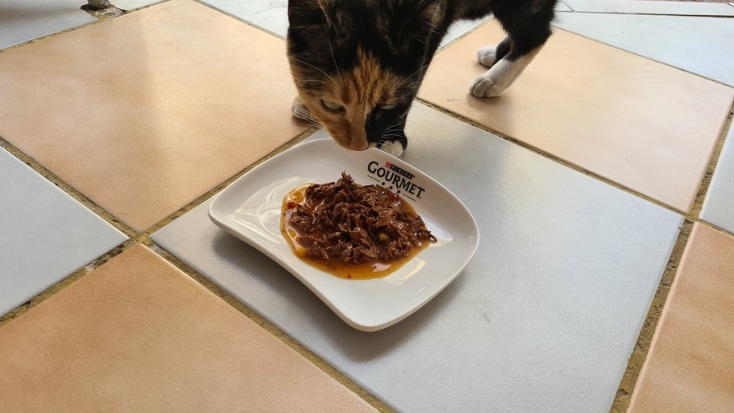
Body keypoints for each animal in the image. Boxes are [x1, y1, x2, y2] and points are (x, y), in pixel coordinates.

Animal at [286, 0, 557, 157]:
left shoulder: (434, 22)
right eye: (331, 105)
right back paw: (494, 54)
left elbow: (415, 78)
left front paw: (392, 138)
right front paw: (306, 102)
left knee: (538, 33)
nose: (359, 147)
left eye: (390, 106)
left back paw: (494, 79)